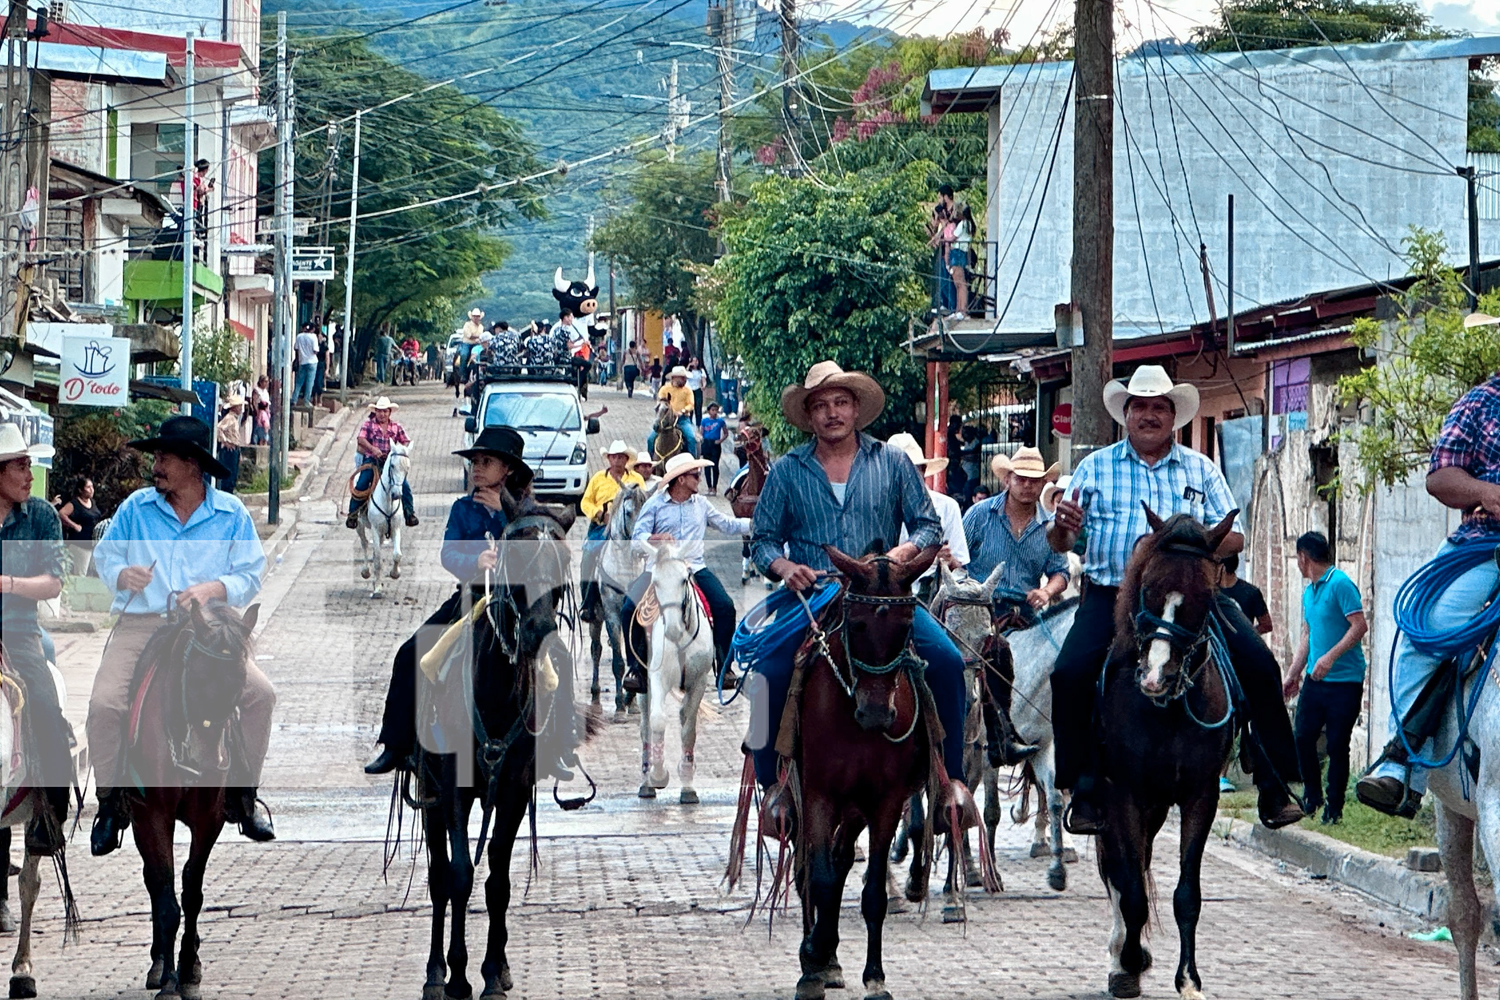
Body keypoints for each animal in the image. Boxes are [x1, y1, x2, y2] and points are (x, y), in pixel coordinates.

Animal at [128, 602, 261, 1000]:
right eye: (198, 680)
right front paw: (170, 979)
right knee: (155, 883)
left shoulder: (208, 818)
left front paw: (189, 971)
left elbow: (192, 892)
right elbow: (166, 894)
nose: (212, 764)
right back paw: (159, 964)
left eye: (240, 685)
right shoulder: (153, 815)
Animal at [357, 443, 411, 599]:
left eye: (407, 467)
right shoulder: (375, 529)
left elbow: (397, 555)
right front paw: (377, 590)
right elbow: (377, 560)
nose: (396, 494)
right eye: (392, 465)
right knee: (364, 544)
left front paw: (394, 574)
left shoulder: (395, 528)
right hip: (360, 525)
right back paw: (366, 572)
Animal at [639, 542, 714, 803]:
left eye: (684, 579)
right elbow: (658, 721)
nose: (672, 629)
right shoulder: (657, 678)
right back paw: (646, 781)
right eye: (656, 582)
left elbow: (688, 728)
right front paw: (659, 774)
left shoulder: (699, 681)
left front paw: (688, 785)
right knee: (645, 725)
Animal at [1098, 512, 1236, 995]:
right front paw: (1128, 962)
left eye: (1206, 595)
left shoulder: (1201, 796)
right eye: (1149, 586)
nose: (1157, 675)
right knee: (1120, 872)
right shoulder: (1123, 794)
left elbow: (1186, 895)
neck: (1167, 712)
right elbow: (1132, 891)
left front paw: (1190, 981)